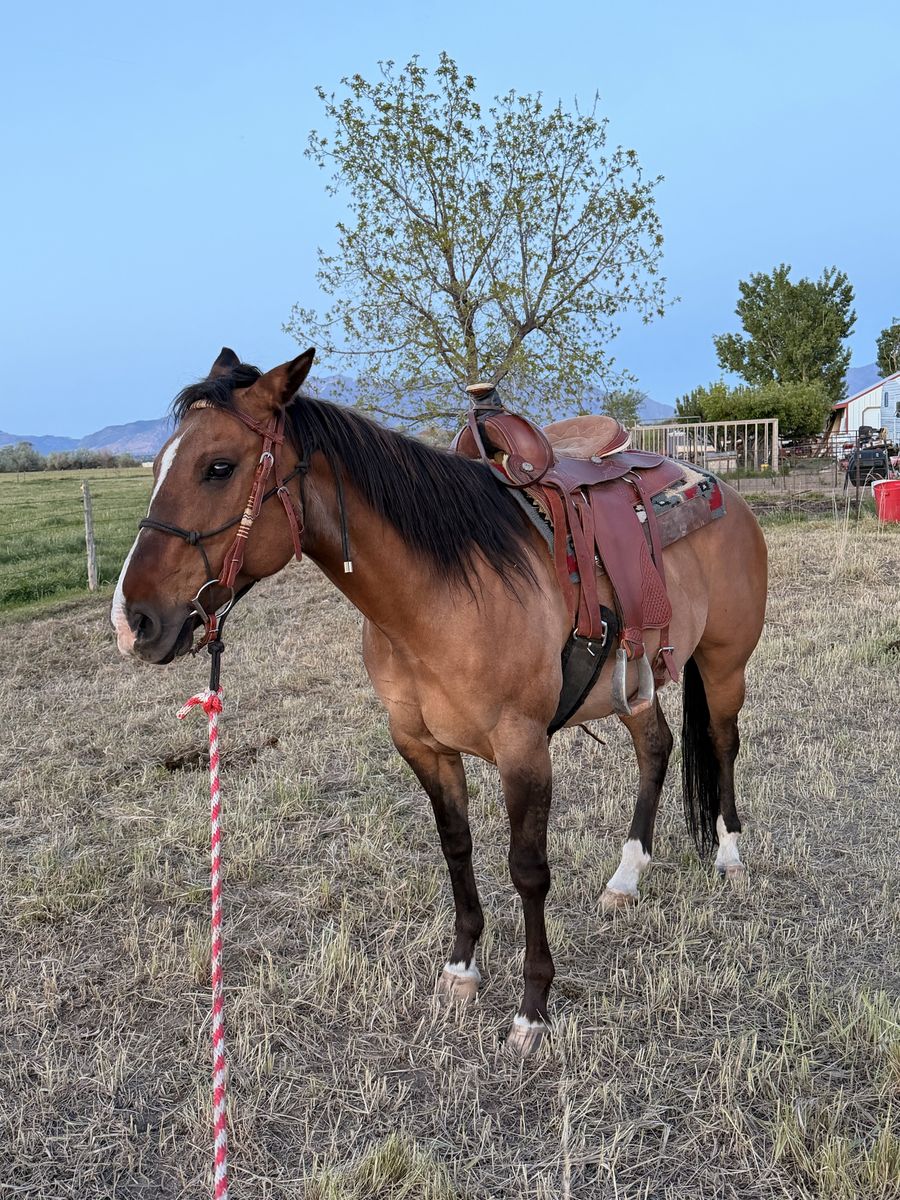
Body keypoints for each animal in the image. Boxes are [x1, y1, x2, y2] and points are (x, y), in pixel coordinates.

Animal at [112, 348, 767, 1055]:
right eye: (157, 464)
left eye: (219, 467)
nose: (132, 621)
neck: (441, 595)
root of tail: (722, 489)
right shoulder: (421, 745)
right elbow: (456, 846)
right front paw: (462, 969)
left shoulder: (522, 748)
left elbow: (528, 869)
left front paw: (532, 1009)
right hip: (637, 683)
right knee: (657, 749)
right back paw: (625, 878)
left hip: (724, 664)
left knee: (722, 744)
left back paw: (729, 854)